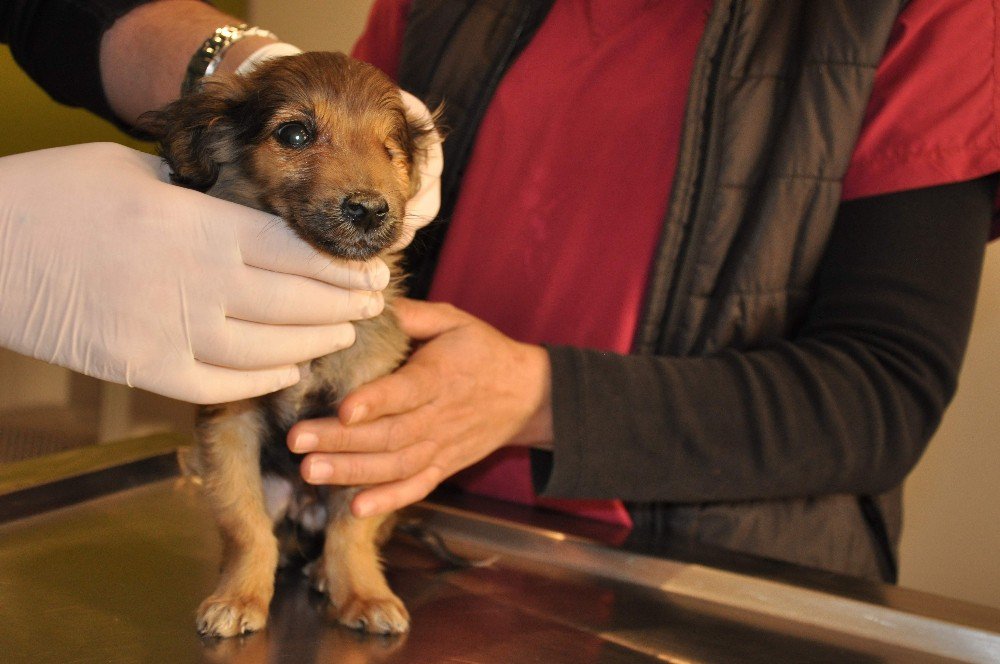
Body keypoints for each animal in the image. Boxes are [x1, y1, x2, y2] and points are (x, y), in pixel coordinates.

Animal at [144, 50, 434, 640]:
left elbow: (353, 531)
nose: (370, 209)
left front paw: (364, 594)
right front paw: (239, 595)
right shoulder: (230, 426)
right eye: (295, 134)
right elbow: (245, 523)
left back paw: (324, 571)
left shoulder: (364, 436)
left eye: (390, 150)